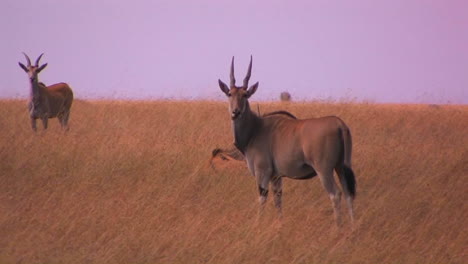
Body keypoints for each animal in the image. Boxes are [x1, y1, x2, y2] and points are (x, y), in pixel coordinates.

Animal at [218, 55, 356, 225]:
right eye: (229, 93)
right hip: (341, 167)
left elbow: (262, 199)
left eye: (245, 94)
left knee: (335, 194)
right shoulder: (276, 177)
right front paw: (280, 224)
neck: (255, 129)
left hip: (324, 170)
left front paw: (257, 224)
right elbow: (278, 200)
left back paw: (338, 227)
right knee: (348, 194)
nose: (235, 112)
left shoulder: (263, 173)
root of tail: (340, 125)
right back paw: (353, 226)